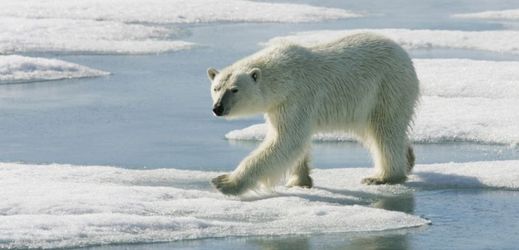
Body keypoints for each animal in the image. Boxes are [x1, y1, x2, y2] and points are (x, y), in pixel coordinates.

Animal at [206, 32, 418, 195]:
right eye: (216, 88)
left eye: (234, 90)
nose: (218, 108)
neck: (284, 76)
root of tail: (404, 55)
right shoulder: (279, 106)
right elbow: (293, 143)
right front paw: (300, 181)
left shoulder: (297, 97)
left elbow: (286, 140)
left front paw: (224, 182)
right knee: (372, 132)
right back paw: (408, 159)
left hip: (387, 87)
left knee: (384, 131)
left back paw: (383, 177)